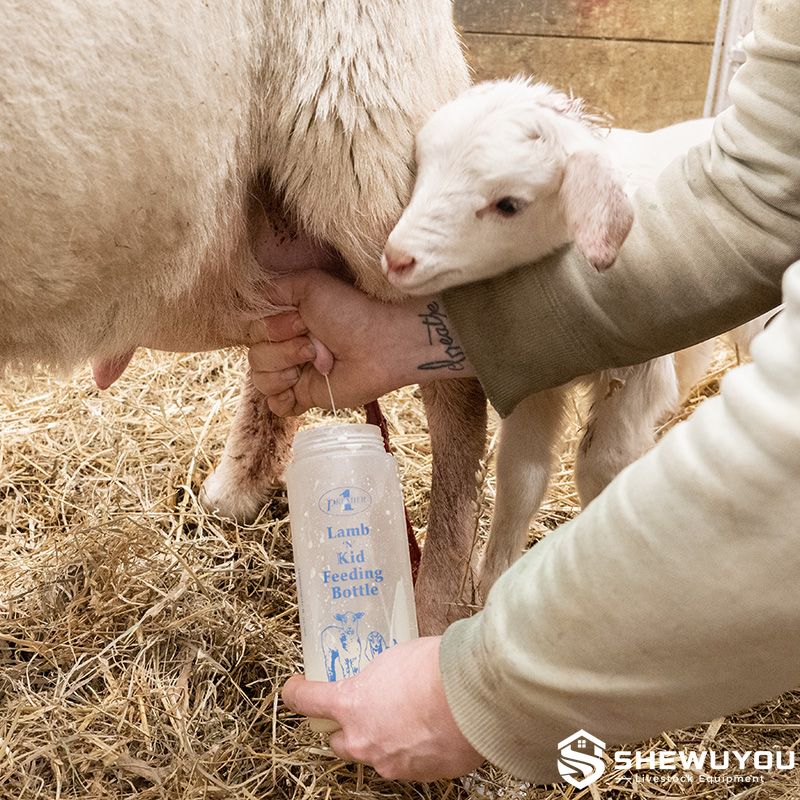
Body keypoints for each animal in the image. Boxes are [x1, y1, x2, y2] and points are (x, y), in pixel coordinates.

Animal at [382, 78, 775, 594]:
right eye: (421, 169)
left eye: (508, 204)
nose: (397, 258)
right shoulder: (529, 381)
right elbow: (521, 476)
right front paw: (494, 581)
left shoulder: (635, 379)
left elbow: (601, 467)